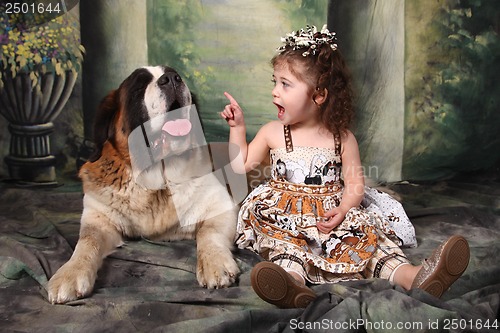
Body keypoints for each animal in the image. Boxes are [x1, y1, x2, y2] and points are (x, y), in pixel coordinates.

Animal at [47, 65, 240, 304]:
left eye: (176, 75)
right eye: (139, 87)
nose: (172, 79)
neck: (157, 183)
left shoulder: (220, 204)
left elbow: (209, 232)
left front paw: (215, 263)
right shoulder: (97, 216)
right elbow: (87, 240)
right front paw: (70, 273)